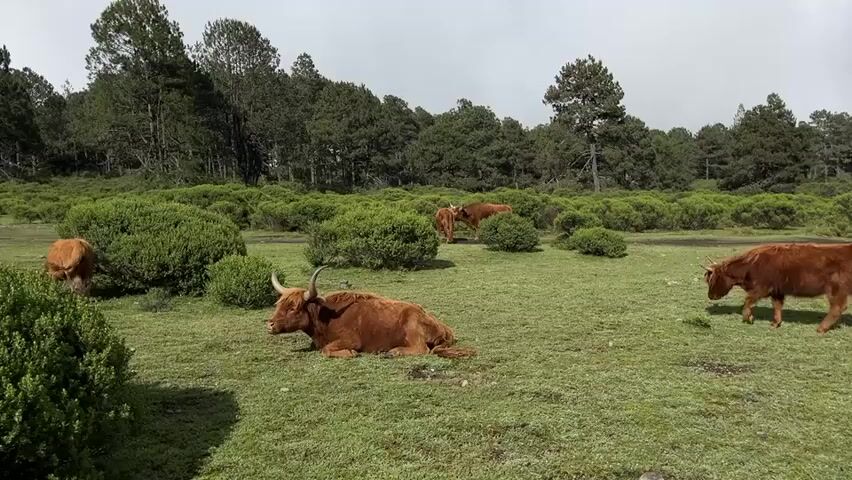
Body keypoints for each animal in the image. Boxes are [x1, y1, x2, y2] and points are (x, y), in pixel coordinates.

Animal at [267, 266, 475, 358]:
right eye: (278, 304)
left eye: (293, 308)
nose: (270, 324)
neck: (326, 317)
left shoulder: (351, 339)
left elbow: (327, 350)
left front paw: (350, 353)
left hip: (412, 330)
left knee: (421, 349)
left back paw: (393, 351)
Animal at [703, 243, 852, 333]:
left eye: (712, 279)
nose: (710, 296)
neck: (751, 265)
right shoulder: (777, 291)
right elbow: (777, 306)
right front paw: (775, 323)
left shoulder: (760, 288)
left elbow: (747, 301)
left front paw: (748, 318)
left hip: (835, 288)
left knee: (837, 307)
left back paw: (820, 328)